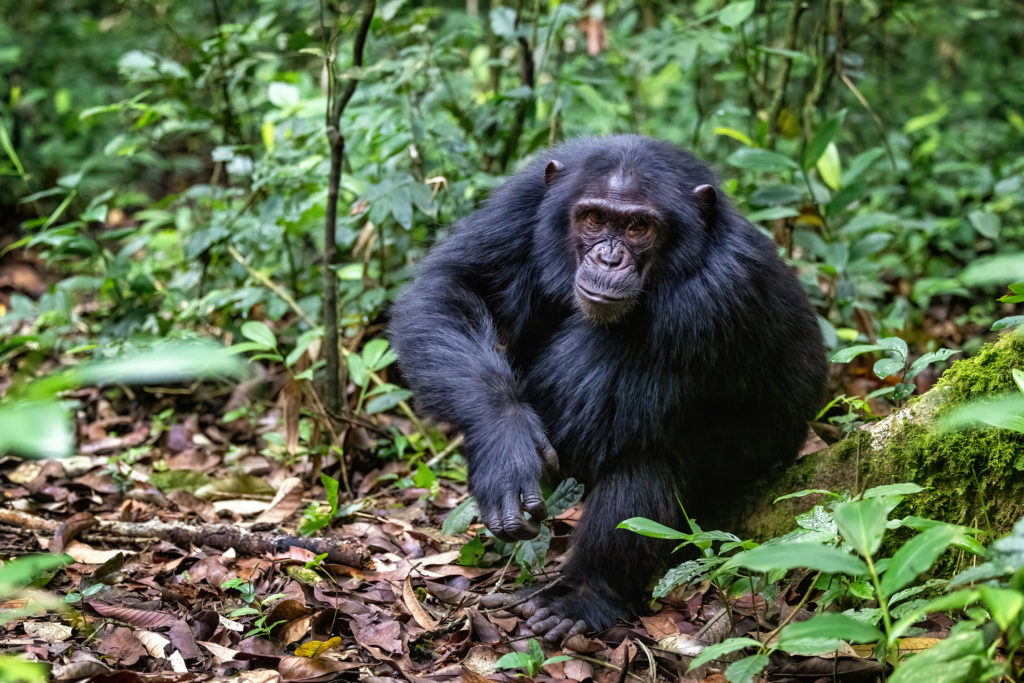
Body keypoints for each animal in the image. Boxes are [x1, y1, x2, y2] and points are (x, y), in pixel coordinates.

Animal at [387, 135, 827, 643]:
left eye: (638, 226)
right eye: (594, 218)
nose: (609, 258)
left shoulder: (717, 294)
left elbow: (584, 419)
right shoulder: (519, 204)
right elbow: (453, 287)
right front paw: (503, 445)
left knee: (646, 462)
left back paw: (580, 597)